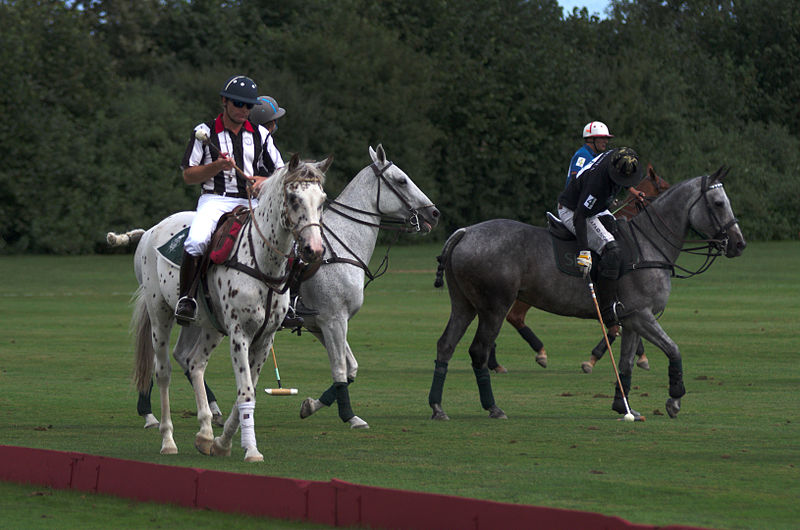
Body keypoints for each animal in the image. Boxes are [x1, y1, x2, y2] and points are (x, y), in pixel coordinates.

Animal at [128, 153, 328, 458]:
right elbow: (245, 390)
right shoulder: (239, 333)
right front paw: (250, 449)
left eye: (322, 200)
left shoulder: (265, 337)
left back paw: (205, 431)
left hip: (208, 325)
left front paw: (222, 443)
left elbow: (249, 391)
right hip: (159, 313)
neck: (263, 261)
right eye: (294, 198)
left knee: (194, 362)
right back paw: (168, 440)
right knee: (163, 371)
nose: (314, 250)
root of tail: (151, 231)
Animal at [296, 145, 440, 428]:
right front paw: (350, 417)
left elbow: (350, 368)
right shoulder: (333, 320)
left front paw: (311, 405)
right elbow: (340, 369)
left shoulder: (318, 323)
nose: (434, 213)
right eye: (402, 180)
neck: (340, 248)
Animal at [490, 163, 672, 374]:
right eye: (665, 187)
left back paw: (496, 361)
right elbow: (614, 329)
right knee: (513, 317)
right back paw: (533, 354)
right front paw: (593, 360)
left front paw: (638, 356)